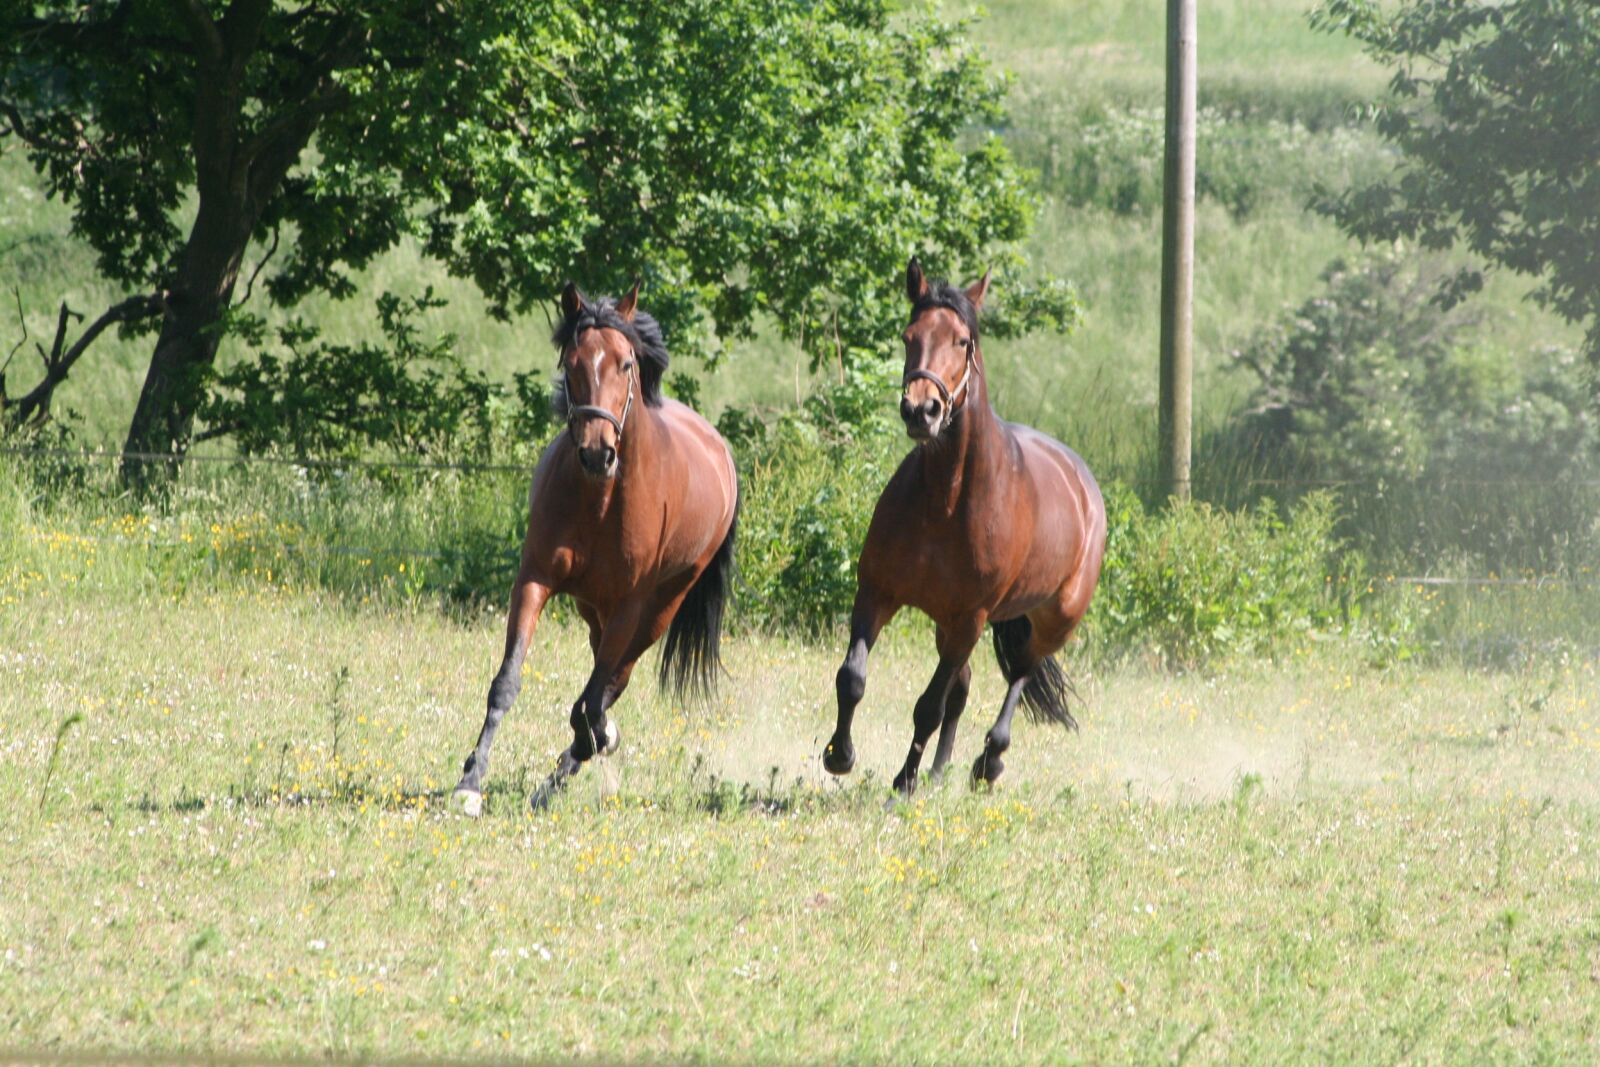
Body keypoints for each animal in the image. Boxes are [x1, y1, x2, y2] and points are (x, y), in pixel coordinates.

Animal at [452, 281, 740, 813]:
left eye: (626, 364)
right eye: (571, 362)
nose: (596, 453)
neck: (599, 498)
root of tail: (720, 449)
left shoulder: (630, 607)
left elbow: (588, 704)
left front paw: (585, 747)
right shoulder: (535, 580)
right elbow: (507, 682)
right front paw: (470, 781)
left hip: (658, 610)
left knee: (612, 681)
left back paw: (569, 767)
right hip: (592, 608)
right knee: (601, 682)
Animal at [822, 258, 1106, 796]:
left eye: (962, 341)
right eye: (909, 336)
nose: (921, 409)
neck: (946, 501)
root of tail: (1083, 484)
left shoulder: (971, 619)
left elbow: (928, 706)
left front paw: (903, 783)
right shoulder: (876, 593)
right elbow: (852, 678)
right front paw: (840, 755)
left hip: (1052, 621)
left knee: (1019, 675)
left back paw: (988, 762)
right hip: (947, 625)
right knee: (966, 687)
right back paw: (939, 772)